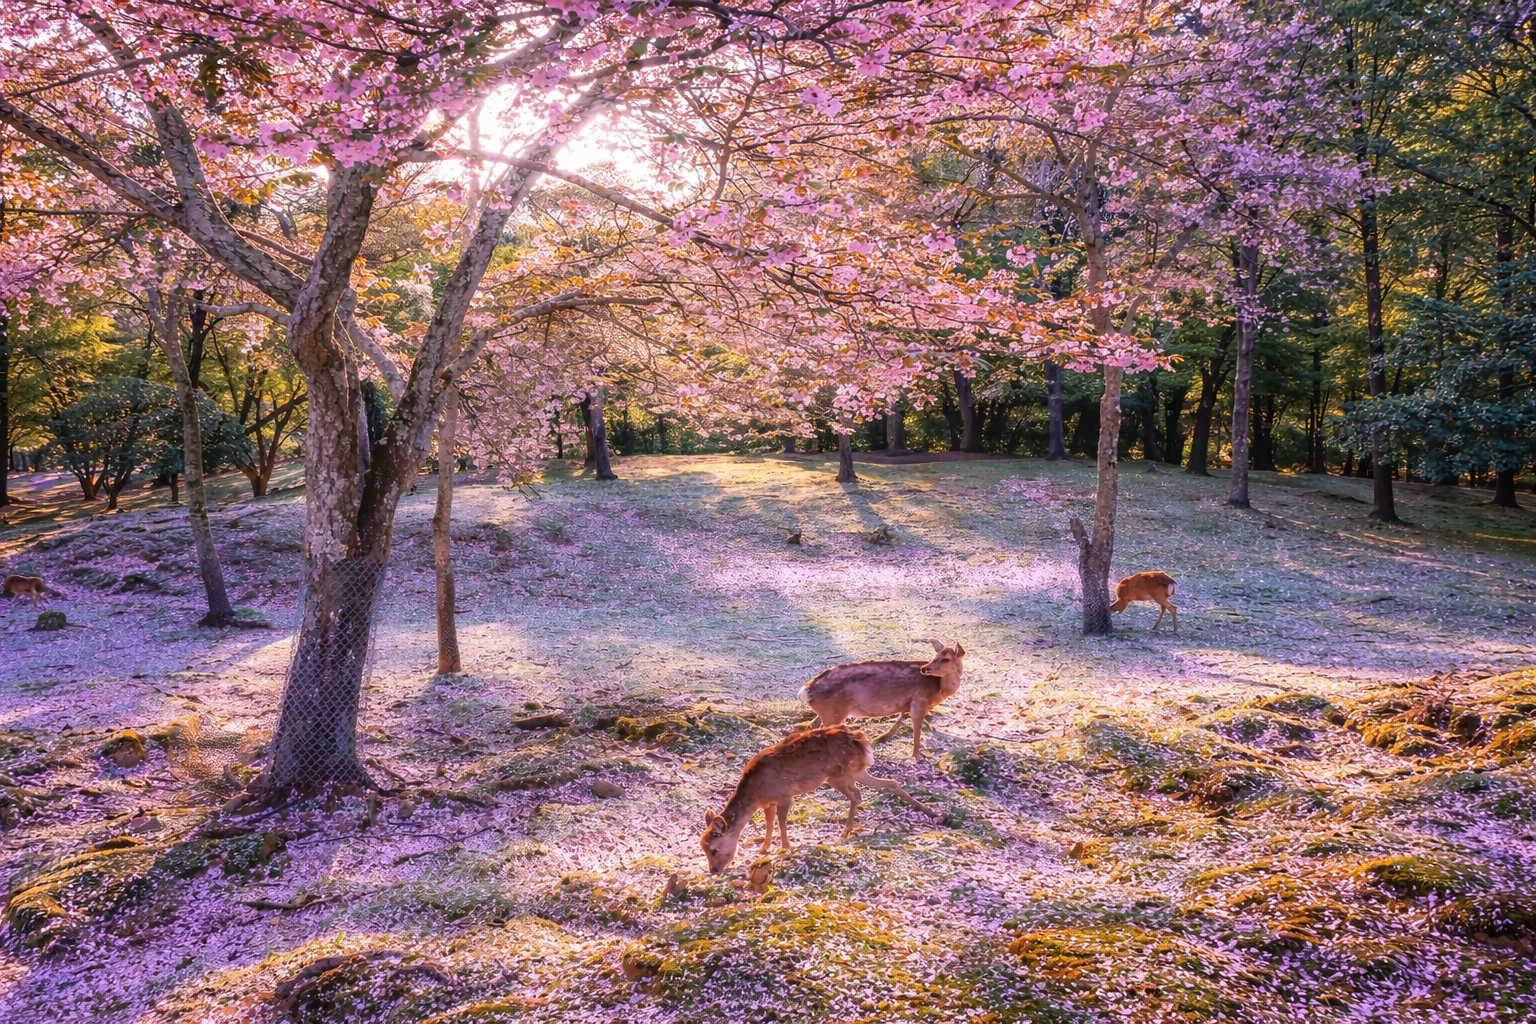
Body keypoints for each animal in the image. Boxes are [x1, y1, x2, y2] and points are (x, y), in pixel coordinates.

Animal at [699, 725, 937, 874]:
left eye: (714, 849)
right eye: (704, 848)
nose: (714, 871)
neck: (755, 794)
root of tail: (863, 742)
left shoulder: (785, 796)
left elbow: (781, 822)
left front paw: (785, 848)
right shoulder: (768, 803)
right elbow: (769, 824)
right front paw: (764, 848)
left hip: (837, 776)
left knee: (857, 795)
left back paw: (846, 832)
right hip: (855, 771)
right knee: (889, 783)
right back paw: (931, 812)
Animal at [797, 639, 965, 759]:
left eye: (945, 659)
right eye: (935, 657)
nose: (924, 669)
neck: (940, 691)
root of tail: (805, 691)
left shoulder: (907, 704)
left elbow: (900, 719)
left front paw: (882, 737)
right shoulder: (919, 701)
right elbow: (916, 732)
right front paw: (915, 757)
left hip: (828, 712)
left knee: (811, 726)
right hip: (834, 712)